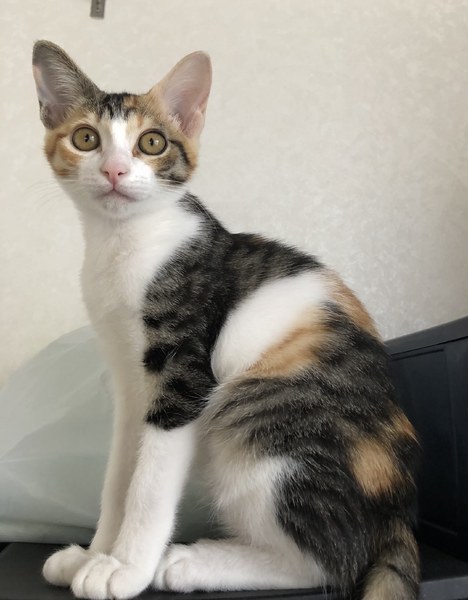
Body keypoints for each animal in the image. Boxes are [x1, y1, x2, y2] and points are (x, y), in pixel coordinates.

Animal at [33, 41, 420, 600]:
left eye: (152, 143)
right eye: (86, 139)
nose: (115, 171)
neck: (124, 244)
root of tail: (397, 513)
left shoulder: (183, 374)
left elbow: (149, 482)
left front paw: (125, 568)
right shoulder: (131, 384)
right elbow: (120, 471)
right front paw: (93, 554)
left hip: (257, 417)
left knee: (330, 561)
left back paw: (192, 563)